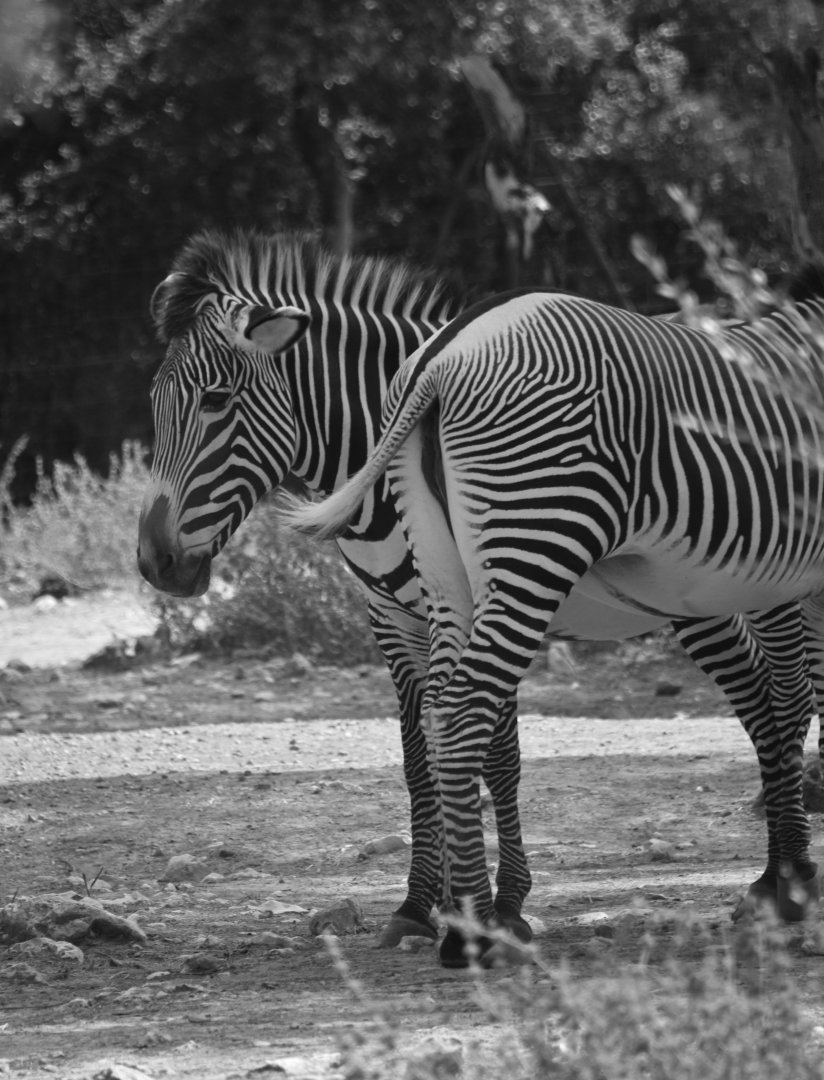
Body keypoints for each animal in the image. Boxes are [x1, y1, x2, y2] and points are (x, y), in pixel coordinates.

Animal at [137, 232, 817, 962]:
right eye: (154, 402)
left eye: (215, 400)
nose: (155, 562)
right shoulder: (393, 618)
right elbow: (418, 759)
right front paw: (420, 905)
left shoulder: (498, 589)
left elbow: (500, 757)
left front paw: (504, 905)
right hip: (693, 598)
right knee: (762, 700)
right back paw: (778, 877)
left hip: (750, 582)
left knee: (781, 698)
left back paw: (785, 878)